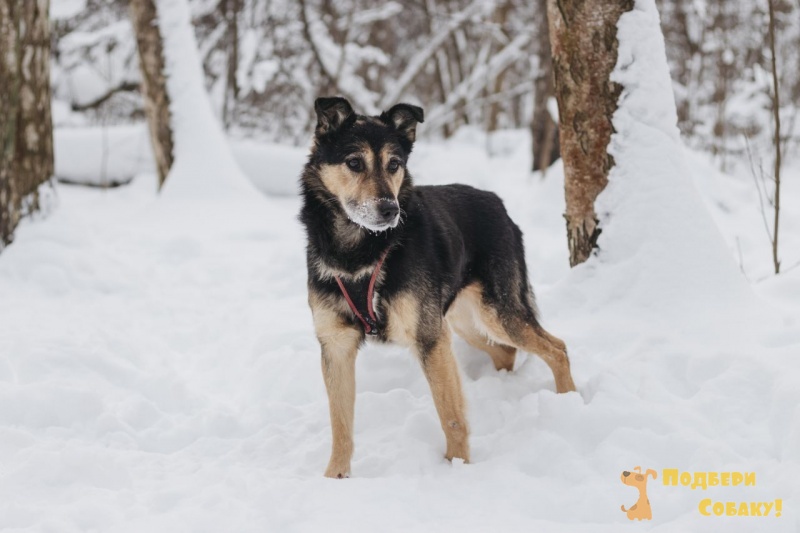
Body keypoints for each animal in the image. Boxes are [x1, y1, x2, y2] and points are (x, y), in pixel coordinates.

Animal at [299, 96, 576, 478]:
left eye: (394, 164)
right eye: (354, 163)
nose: (390, 210)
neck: (358, 253)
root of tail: (496, 201)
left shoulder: (429, 338)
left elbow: (451, 415)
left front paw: (456, 467)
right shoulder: (336, 346)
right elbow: (340, 424)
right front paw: (335, 477)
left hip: (494, 315)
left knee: (557, 348)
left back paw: (570, 402)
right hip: (461, 322)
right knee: (505, 352)